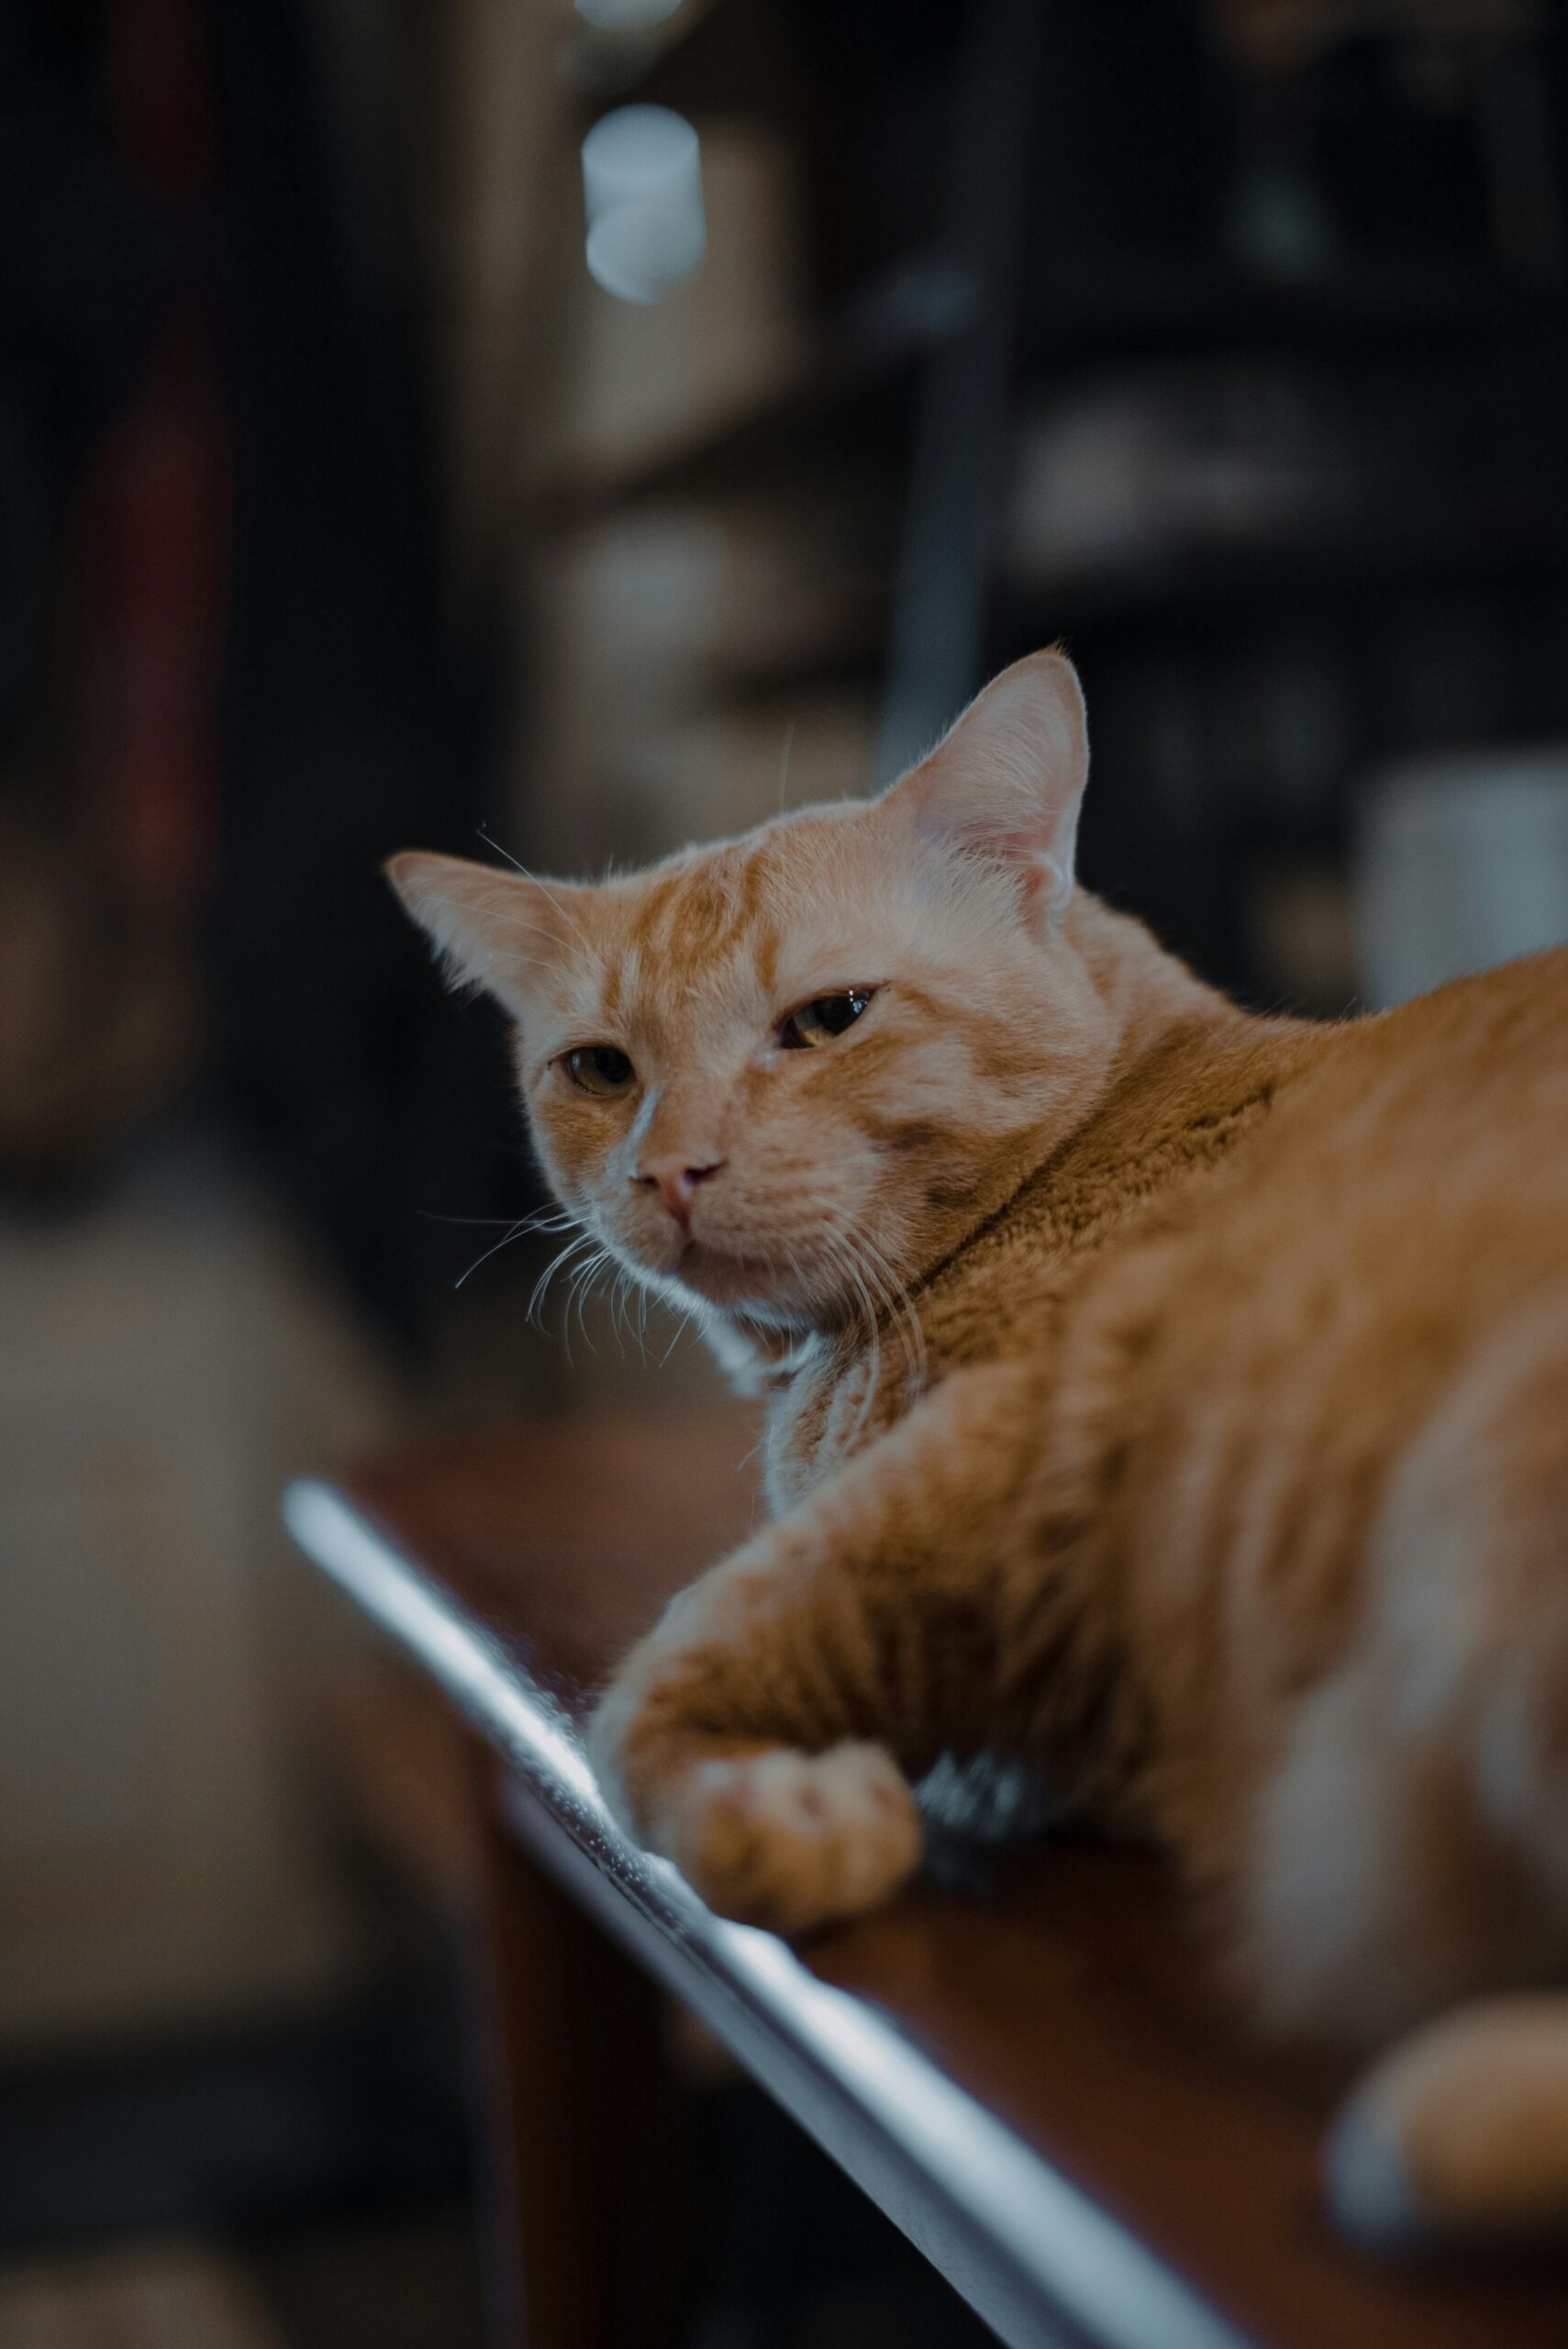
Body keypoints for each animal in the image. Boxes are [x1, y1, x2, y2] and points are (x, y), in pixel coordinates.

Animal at [389, 652, 1568, 2245]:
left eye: (827, 1018)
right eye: (599, 1069)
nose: (669, 1169)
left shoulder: (1010, 1448)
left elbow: (664, 1685)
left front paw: (772, 1807)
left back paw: (1431, 2122)